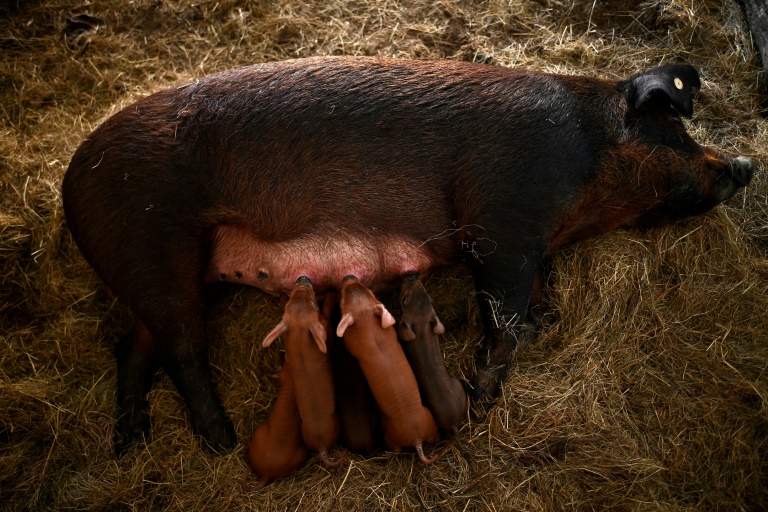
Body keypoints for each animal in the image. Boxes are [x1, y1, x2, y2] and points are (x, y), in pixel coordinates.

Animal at [262, 278, 340, 466]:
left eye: (291, 300)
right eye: (314, 304)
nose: (303, 278)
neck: (299, 340)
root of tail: (321, 447)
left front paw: (281, 298)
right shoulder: (324, 325)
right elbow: (326, 314)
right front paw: (331, 295)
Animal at [336, 276, 438, 464]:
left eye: (342, 301)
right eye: (370, 291)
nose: (348, 277)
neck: (368, 326)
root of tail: (416, 438)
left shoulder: (350, 344)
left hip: (392, 435)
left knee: (395, 449)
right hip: (429, 422)